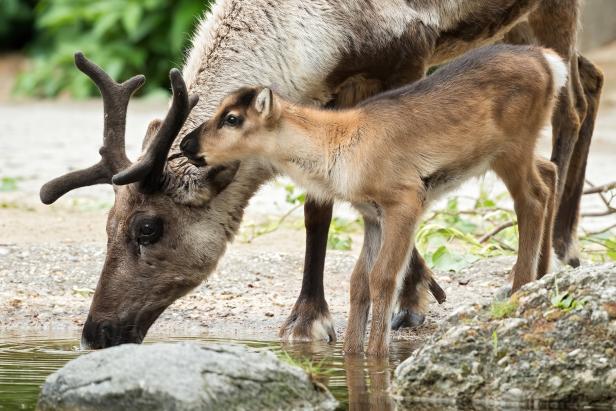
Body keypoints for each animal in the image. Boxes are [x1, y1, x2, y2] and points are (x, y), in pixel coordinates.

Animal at [180, 43, 564, 356]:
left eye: (232, 118)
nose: (187, 144)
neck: (336, 148)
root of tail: (548, 61)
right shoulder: (371, 214)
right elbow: (358, 281)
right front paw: (352, 352)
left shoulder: (405, 199)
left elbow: (383, 277)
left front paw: (377, 354)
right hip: (515, 152)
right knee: (548, 170)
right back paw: (542, 276)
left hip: (511, 147)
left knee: (533, 197)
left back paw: (520, 287)